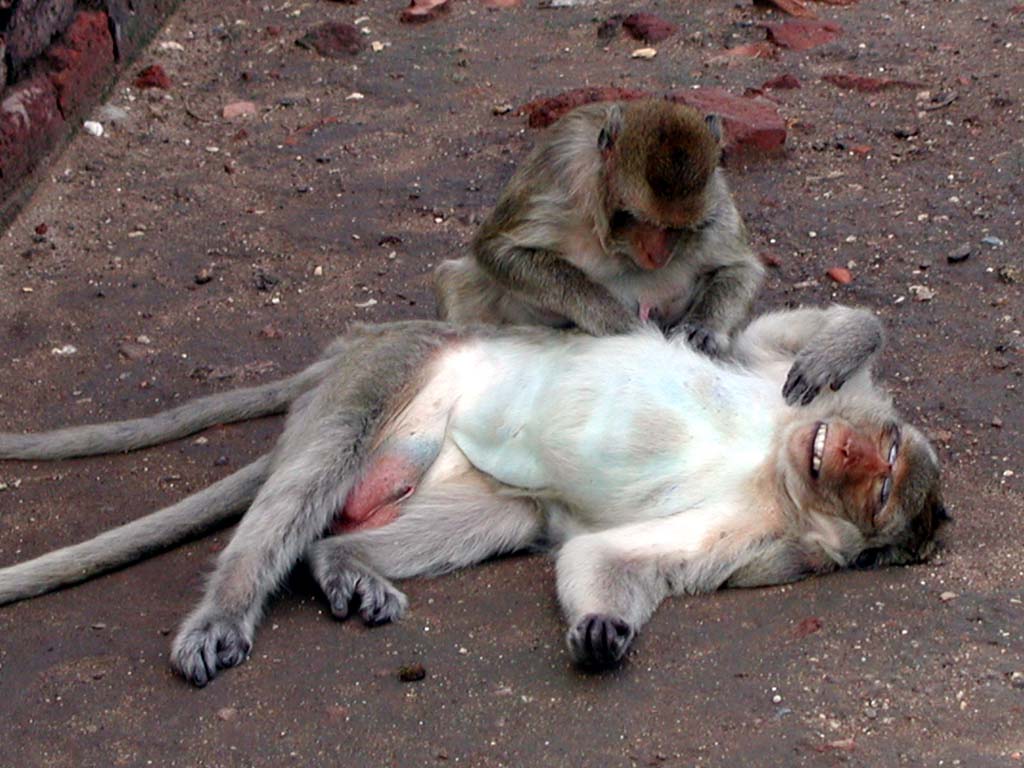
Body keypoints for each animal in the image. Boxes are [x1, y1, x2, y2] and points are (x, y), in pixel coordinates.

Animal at [0, 307, 946, 684]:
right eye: (888, 454)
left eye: (881, 489)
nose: (850, 450)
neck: (775, 460)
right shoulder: (787, 386)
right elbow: (785, 334)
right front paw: (834, 346)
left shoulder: (765, 545)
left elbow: (607, 554)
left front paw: (601, 631)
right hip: (385, 377)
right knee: (306, 480)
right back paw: (228, 608)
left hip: (455, 466)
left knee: (503, 516)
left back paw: (340, 561)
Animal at [432, 97, 761, 354]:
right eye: (640, 220)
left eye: (678, 229)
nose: (658, 255)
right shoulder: (561, 169)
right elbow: (497, 250)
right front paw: (611, 318)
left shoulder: (716, 197)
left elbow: (741, 267)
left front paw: (704, 327)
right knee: (458, 280)